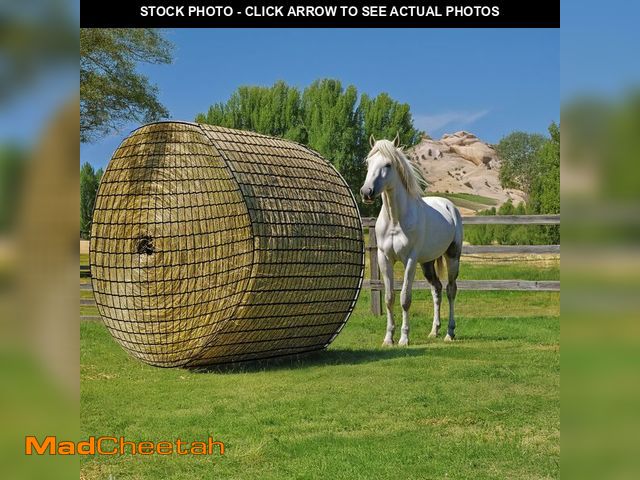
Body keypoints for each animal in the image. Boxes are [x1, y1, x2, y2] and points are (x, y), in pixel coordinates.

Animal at [360, 135, 463, 346]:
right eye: (368, 162)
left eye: (388, 164)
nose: (366, 192)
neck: (395, 219)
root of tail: (449, 206)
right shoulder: (384, 259)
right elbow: (389, 298)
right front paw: (388, 338)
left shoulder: (410, 260)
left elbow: (405, 299)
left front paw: (404, 338)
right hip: (427, 263)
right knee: (437, 289)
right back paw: (434, 331)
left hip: (453, 257)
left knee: (450, 290)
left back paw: (449, 333)